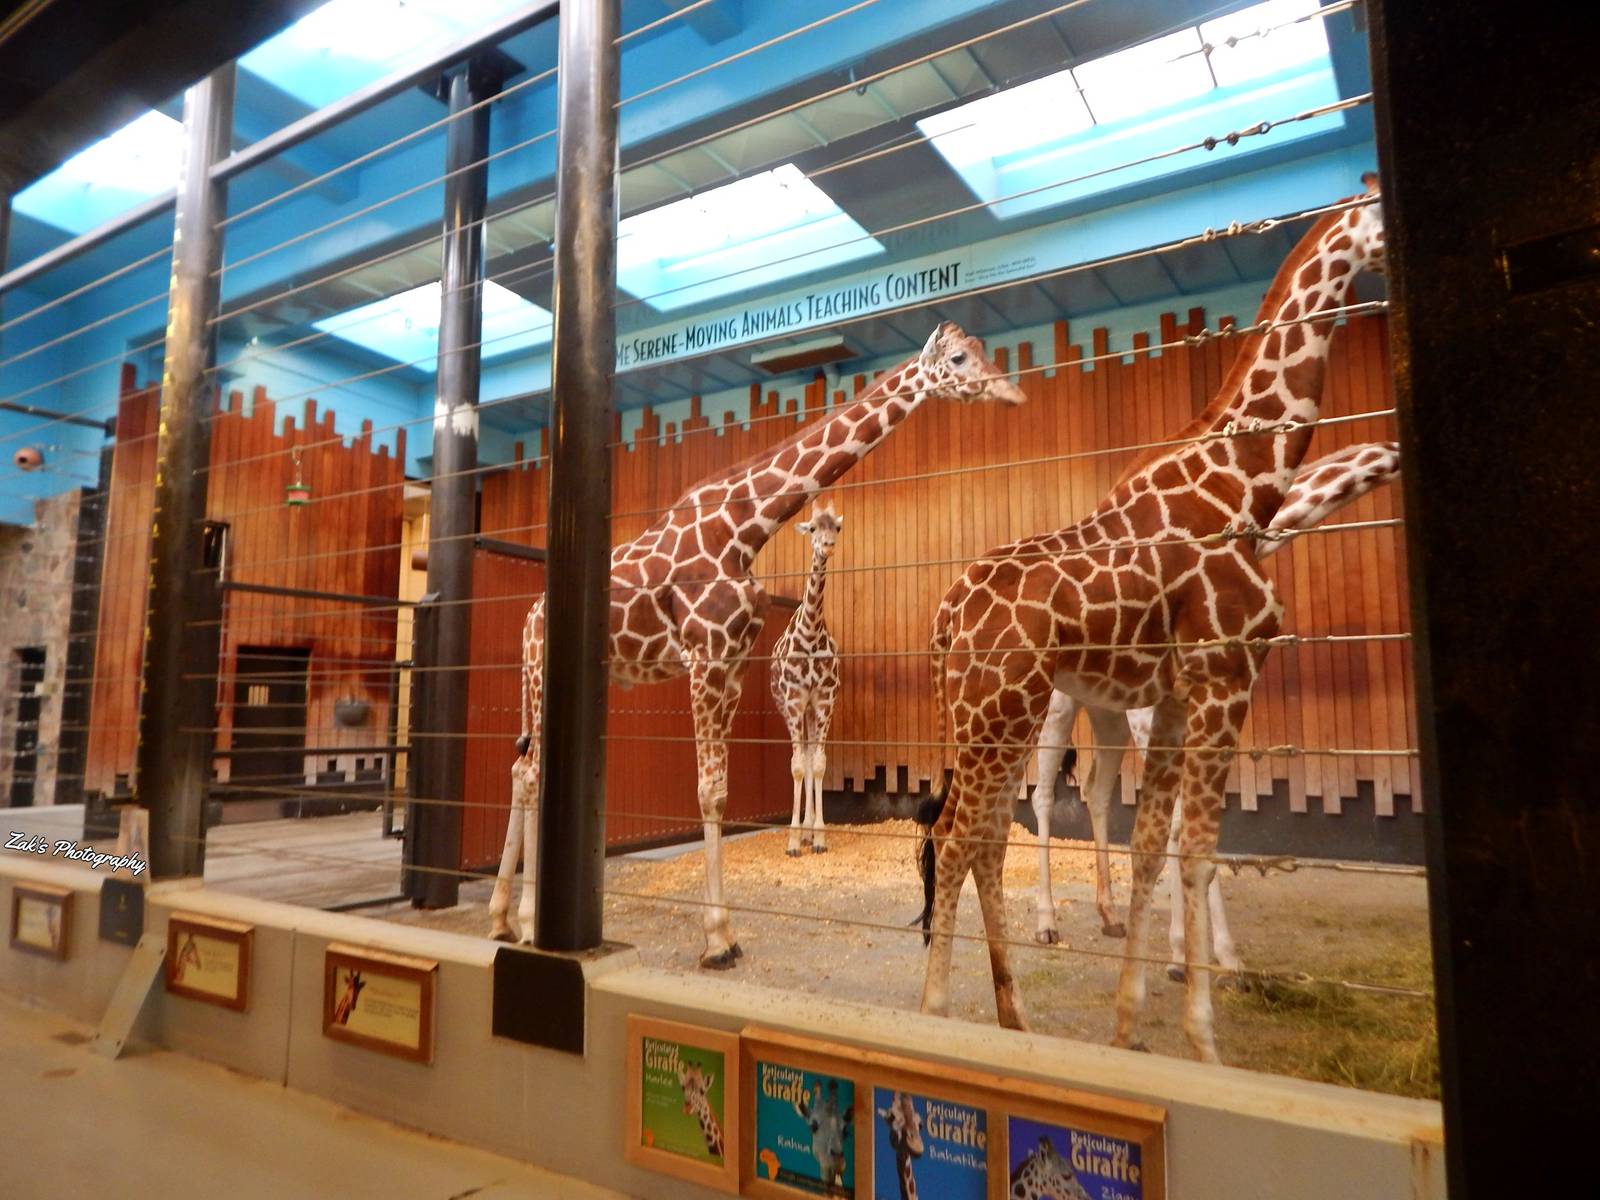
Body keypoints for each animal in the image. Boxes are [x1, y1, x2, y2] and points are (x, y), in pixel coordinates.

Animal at [489, 322, 1024, 967]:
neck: (745, 527)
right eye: (959, 358)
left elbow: (734, 785)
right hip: (545, 676)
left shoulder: (735, 663)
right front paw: (718, 938)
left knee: (520, 769)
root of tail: (529, 618)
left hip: (541, 681)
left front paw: (726, 929)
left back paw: (501, 917)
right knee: (532, 772)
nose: (1012, 391)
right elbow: (711, 792)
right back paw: (524, 919)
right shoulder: (707, 658)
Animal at [1027, 440, 1402, 954]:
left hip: (1109, 715)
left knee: (1096, 789)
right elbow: (1178, 822)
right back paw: (1046, 921)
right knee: (1043, 794)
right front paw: (1192, 948)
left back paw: (1110, 913)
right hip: (1059, 710)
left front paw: (1207, 947)